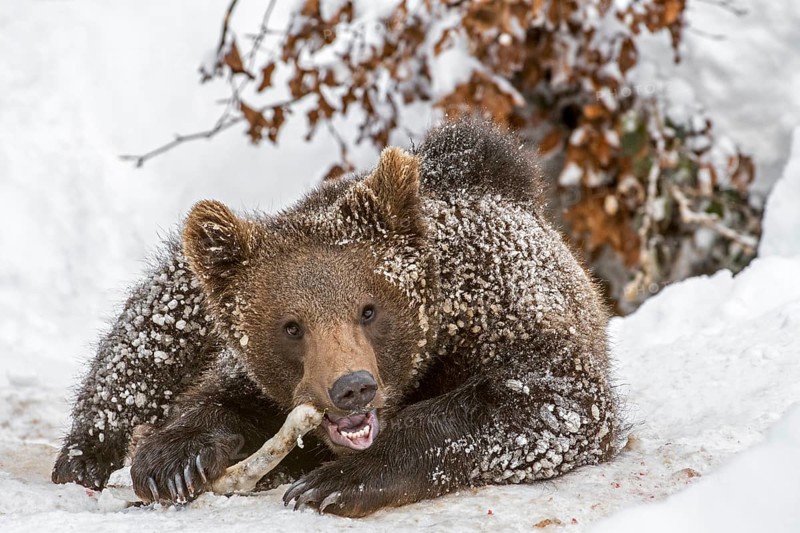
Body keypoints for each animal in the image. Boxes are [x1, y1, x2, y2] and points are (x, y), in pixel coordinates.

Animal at [52, 119, 624, 517]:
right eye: (291, 325)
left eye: (369, 310)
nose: (352, 386)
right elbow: (223, 397)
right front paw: (172, 459)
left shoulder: (512, 319)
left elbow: (548, 404)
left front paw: (335, 482)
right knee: (150, 332)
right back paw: (85, 454)